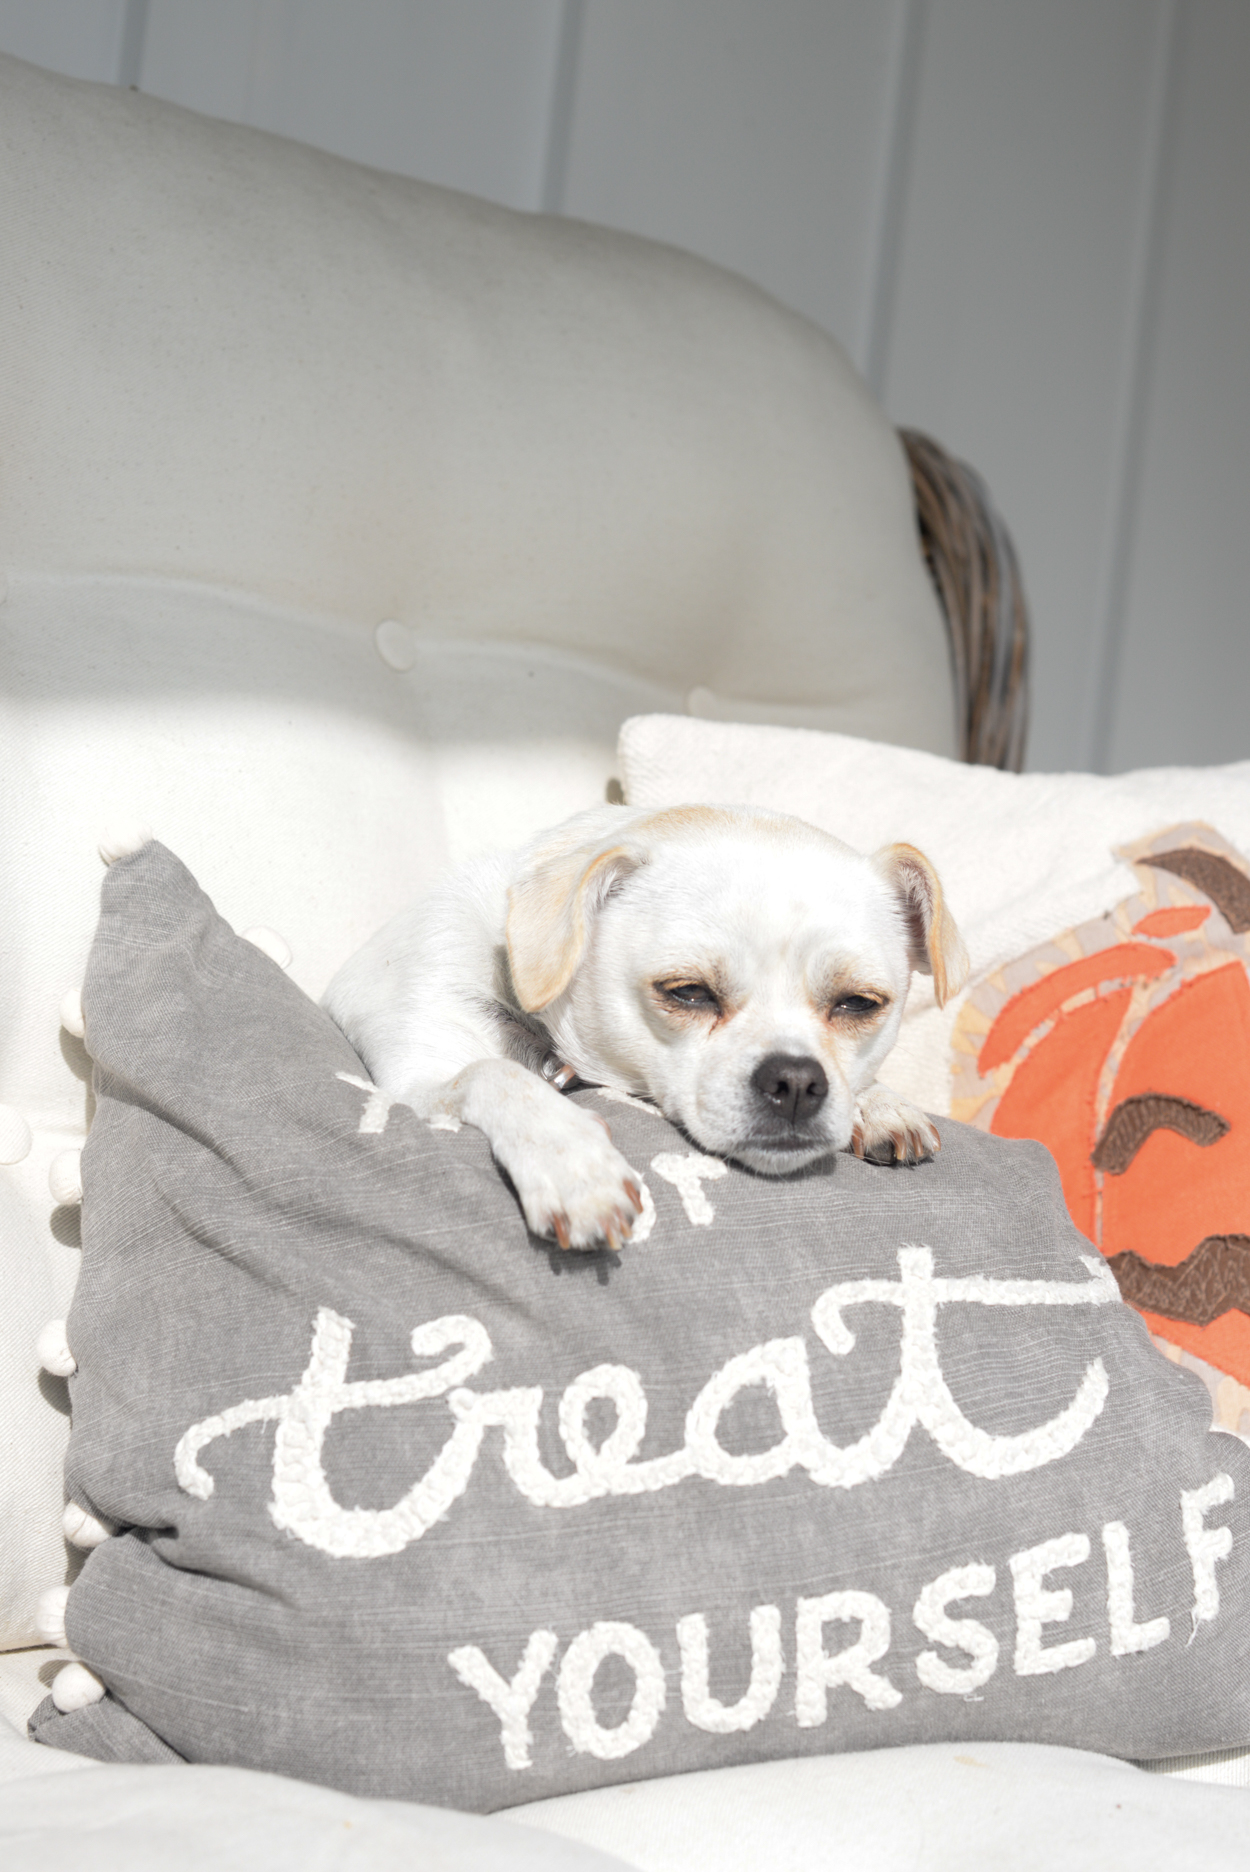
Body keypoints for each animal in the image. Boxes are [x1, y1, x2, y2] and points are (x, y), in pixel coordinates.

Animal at [321, 808, 965, 1257]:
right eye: (689, 992)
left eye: (858, 1003)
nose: (798, 1081)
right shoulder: (419, 1075)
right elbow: (494, 1072)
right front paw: (572, 1160)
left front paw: (879, 1103)